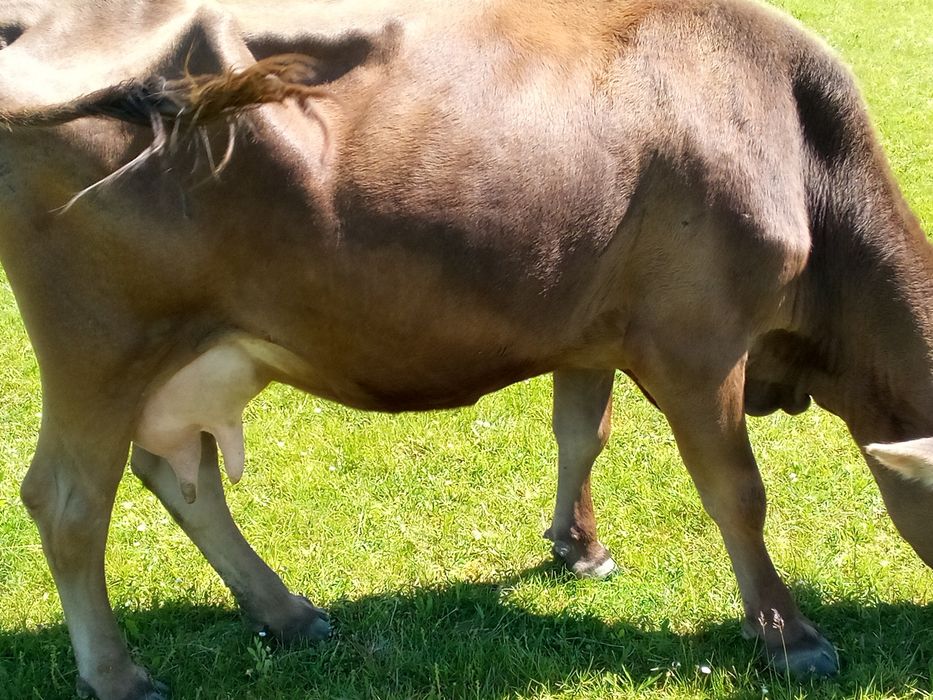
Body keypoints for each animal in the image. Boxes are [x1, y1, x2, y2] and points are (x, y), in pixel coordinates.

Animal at [0, 0, 930, 697]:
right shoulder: (698, 344)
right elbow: (738, 494)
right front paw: (789, 636)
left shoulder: (592, 328)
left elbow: (580, 434)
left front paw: (579, 548)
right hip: (100, 341)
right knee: (68, 499)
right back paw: (118, 674)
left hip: (191, 354)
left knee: (177, 473)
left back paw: (286, 613)